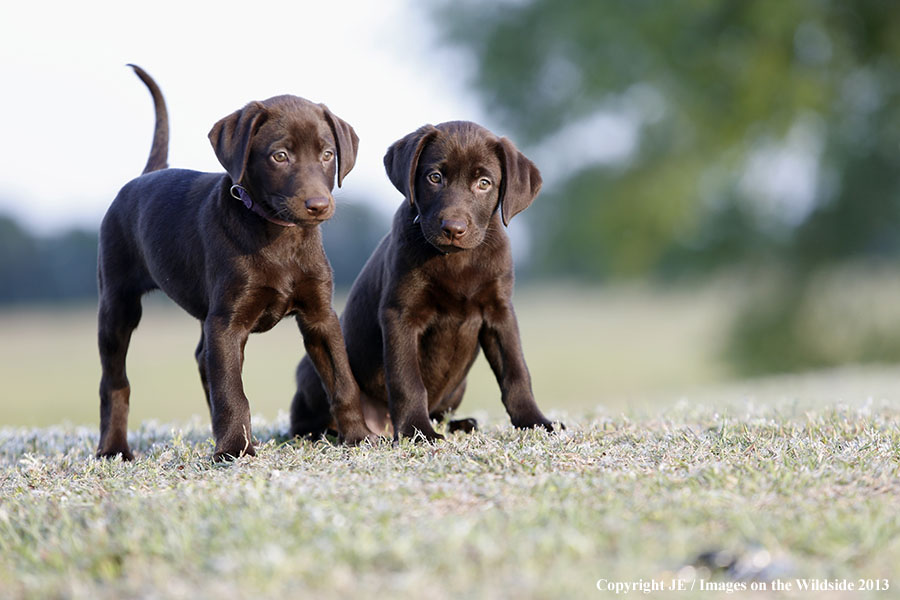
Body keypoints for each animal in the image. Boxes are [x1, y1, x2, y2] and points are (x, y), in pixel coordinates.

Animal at [95, 65, 370, 460]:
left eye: (328, 154)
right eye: (280, 156)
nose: (318, 205)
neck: (278, 234)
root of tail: (145, 176)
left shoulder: (320, 316)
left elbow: (342, 380)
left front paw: (360, 436)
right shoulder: (226, 322)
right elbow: (232, 391)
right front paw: (235, 449)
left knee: (201, 358)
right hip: (118, 303)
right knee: (114, 380)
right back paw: (113, 448)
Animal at [292, 122, 560, 440]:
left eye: (484, 183)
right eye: (435, 177)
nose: (453, 228)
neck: (457, 259)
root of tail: (382, 425)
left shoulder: (500, 312)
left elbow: (516, 372)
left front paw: (535, 421)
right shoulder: (400, 314)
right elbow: (407, 379)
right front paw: (417, 431)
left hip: (458, 387)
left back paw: (462, 424)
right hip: (313, 371)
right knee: (304, 420)